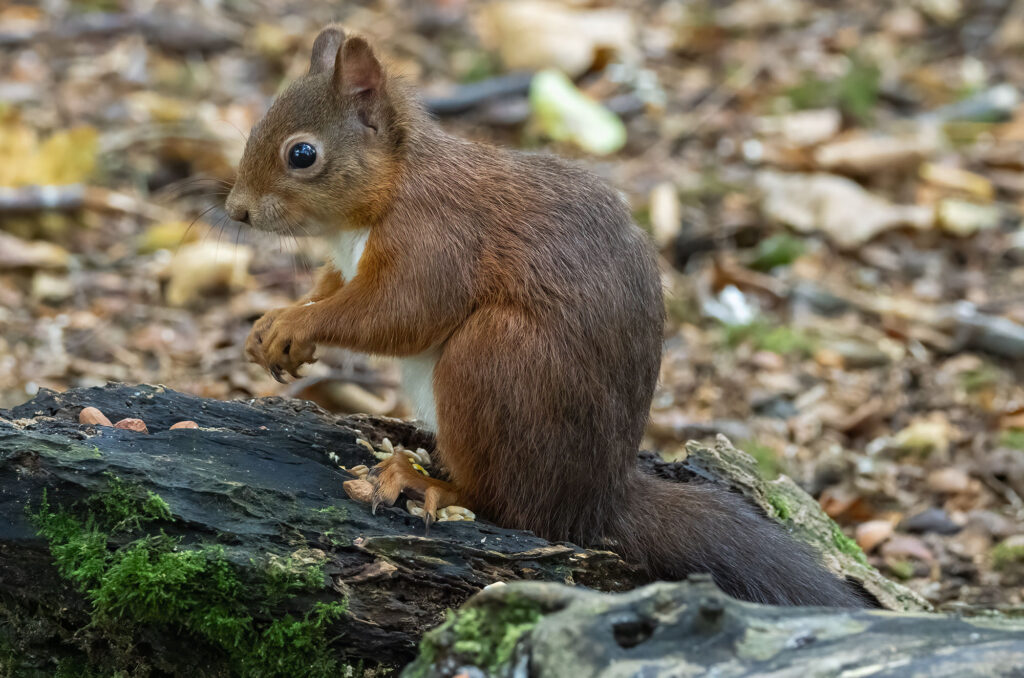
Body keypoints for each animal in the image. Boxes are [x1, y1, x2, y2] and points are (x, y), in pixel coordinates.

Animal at [226, 26, 871, 608]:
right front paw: (272, 326)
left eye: (302, 154)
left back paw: (424, 480)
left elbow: (400, 313)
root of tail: (595, 500)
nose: (235, 211)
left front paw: (295, 327)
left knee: (505, 503)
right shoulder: (350, 262)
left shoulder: (436, 240)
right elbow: (330, 290)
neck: (387, 190)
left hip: (495, 360)